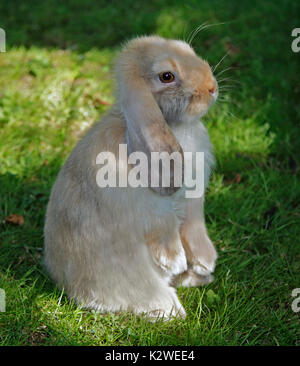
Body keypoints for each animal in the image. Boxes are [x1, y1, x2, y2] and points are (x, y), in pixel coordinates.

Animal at [44, 35, 218, 318]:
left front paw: (206, 262)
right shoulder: (154, 209)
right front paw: (176, 261)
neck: (174, 126)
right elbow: (165, 228)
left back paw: (198, 278)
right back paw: (171, 308)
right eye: (167, 76)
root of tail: (64, 282)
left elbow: (193, 225)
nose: (212, 88)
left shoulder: (193, 199)